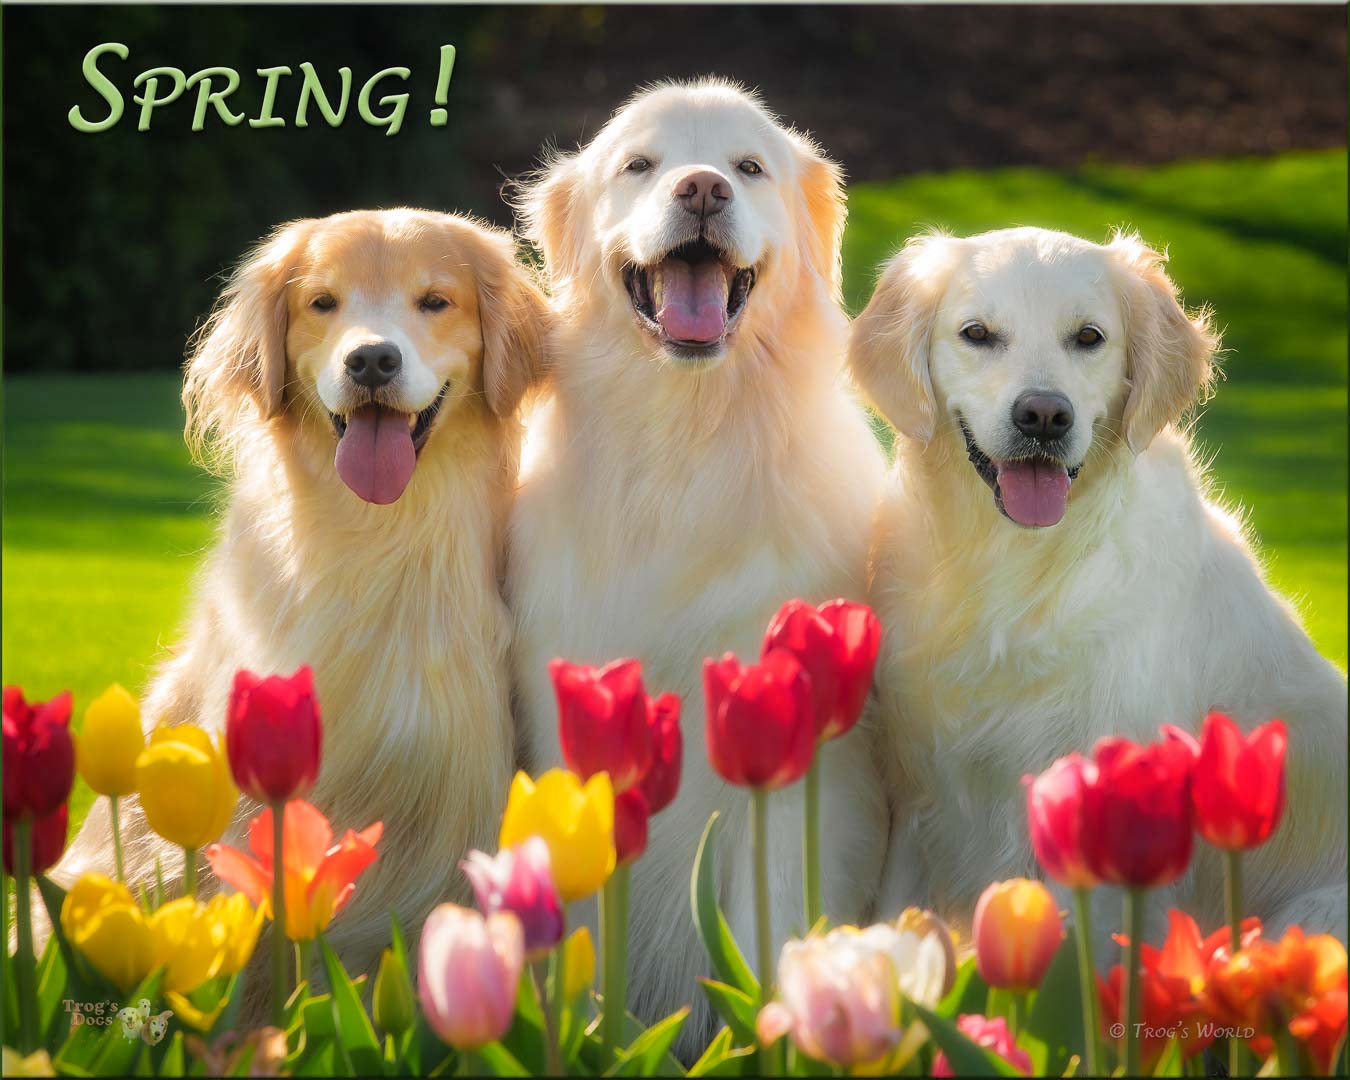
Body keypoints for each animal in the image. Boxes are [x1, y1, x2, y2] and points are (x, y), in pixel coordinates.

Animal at [507, 80, 885, 1042]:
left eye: (749, 166)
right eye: (639, 164)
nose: (704, 189)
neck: (687, 441)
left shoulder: (791, 783)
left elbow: (766, 932)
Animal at [847, 228, 1344, 945]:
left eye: (1089, 337)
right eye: (977, 334)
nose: (1043, 415)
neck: (1012, 572)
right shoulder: (920, 793)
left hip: (1309, 915)